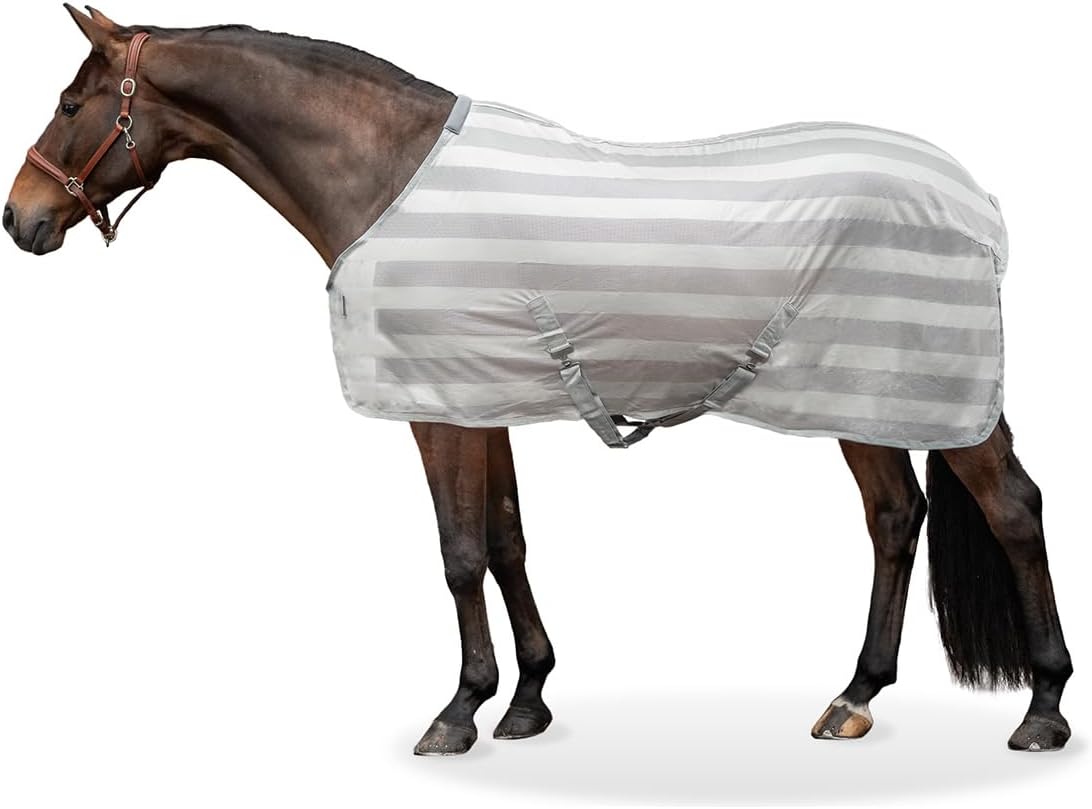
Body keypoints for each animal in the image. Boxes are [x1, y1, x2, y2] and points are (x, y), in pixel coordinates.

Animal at [3, 6, 1073, 755]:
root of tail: (975, 200)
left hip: (925, 393)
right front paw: (526, 700)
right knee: (894, 518)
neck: (389, 176)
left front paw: (458, 711)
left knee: (1012, 509)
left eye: (69, 104)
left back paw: (1043, 709)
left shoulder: (436, 410)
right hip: (863, 395)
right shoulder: (484, 400)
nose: (21, 219)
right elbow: (509, 541)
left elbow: (459, 551)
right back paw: (854, 697)